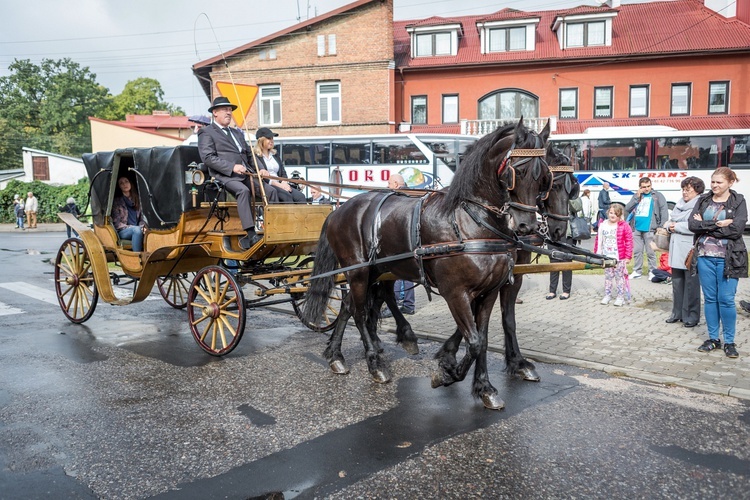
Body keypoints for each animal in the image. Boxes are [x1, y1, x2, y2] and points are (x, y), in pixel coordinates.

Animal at [306, 120, 552, 410]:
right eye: (518, 171)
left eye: (544, 177)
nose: (527, 226)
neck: (471, 222)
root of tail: (338, 209)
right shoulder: (456, 293)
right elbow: (474, 341)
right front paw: (447, 374)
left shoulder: (489, 291)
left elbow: (484, 338)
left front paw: (484, 387)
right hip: (357, 271)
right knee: (359, 312)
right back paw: (375, 363)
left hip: (376, 270)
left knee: (350, 305)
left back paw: (337, 355)